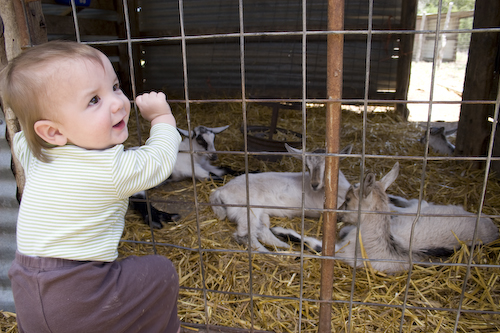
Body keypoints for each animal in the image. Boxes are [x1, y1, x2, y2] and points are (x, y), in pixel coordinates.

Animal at [209, 144, 354, 250]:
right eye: (307, 166)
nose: (314, 184)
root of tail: (221, 190)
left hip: (260, 212)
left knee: (262, 231)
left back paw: (283, 246)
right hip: (247, 209)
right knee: (244, 235)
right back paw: (267, 252)